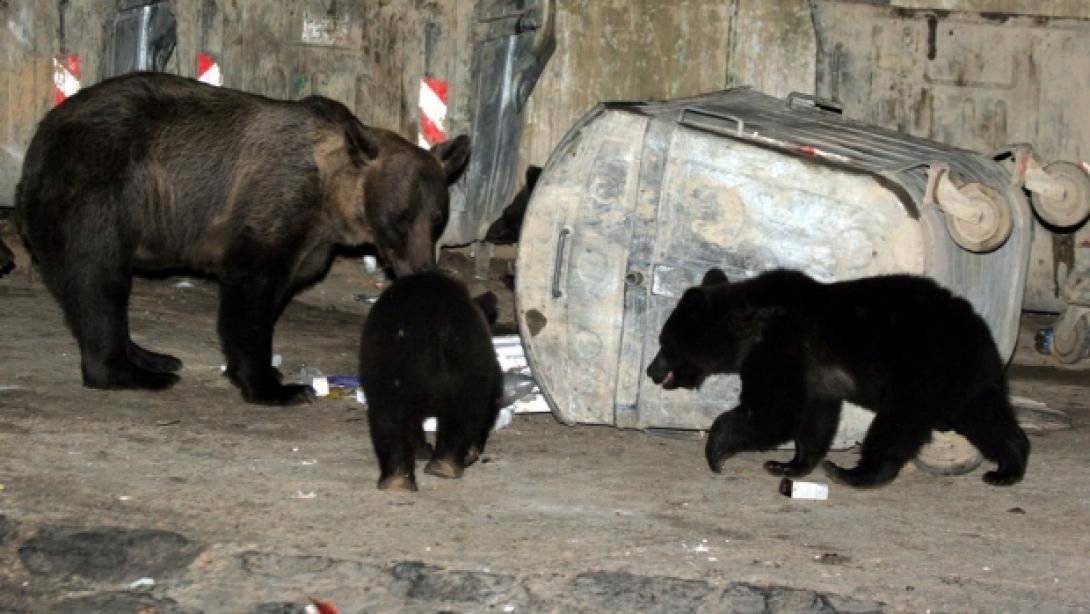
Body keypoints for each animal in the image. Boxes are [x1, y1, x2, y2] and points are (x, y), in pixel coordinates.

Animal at [15, 71, 468, 405]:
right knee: (98, 279)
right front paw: (275, 386)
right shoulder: (273, 203)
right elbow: (249, 293)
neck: (330, 203)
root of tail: (36, 145)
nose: (420, 268)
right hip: (96, 189)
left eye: (437, 219)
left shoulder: (307, 242)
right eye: (399, 217)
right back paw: (129, 372)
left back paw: (152, 357)